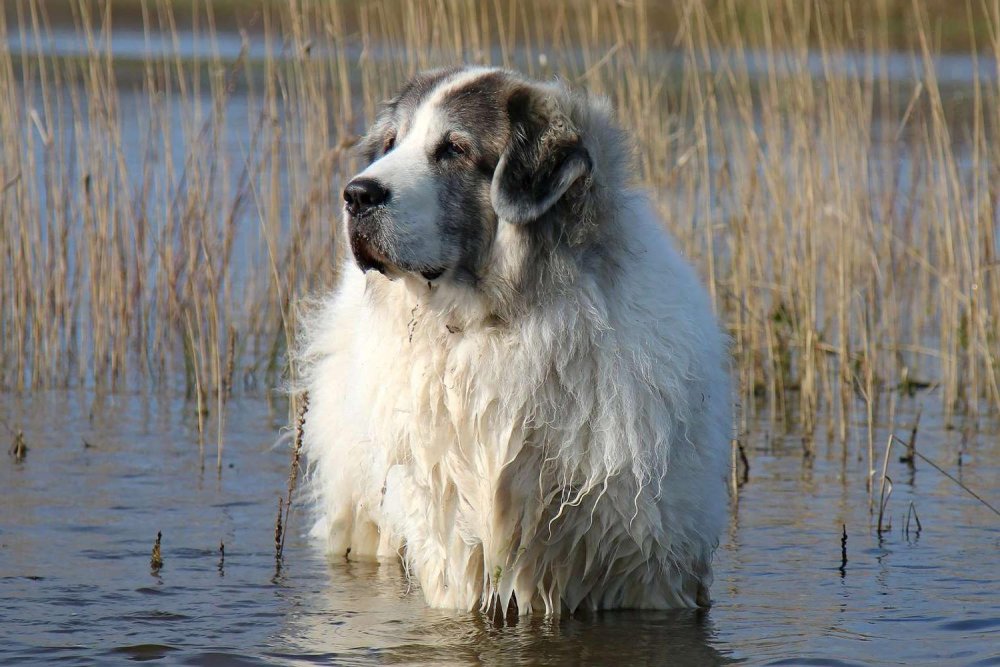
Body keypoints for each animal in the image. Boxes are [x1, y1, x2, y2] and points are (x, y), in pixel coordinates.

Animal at [292, 68, 732, 616]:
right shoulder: (456, 550)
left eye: (454, 149)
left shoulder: (647, 570)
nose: (356, 194)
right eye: (391, 144)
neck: (495, 324)